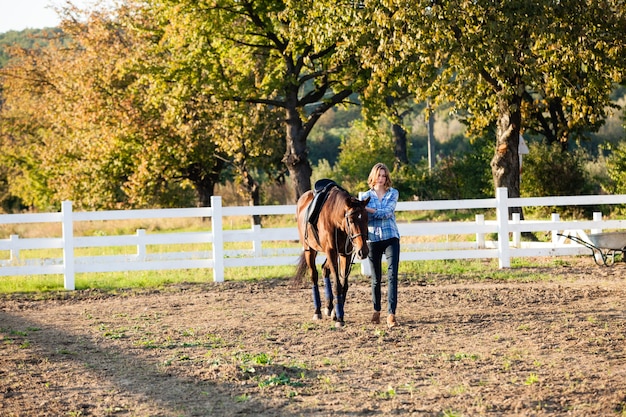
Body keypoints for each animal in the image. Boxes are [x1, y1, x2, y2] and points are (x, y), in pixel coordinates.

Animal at [294, 184, 368, 326]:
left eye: (367, 219)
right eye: (351, 220)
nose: (363, 251)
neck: (335, 220)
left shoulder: (345, 254)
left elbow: (344, 286)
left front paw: (336, 313)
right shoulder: (331, 252)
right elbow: (337, 286)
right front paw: (339, 318)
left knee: (324, 269)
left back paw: (329, 307)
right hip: (310, 250)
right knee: (314, 276)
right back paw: (317, 311)